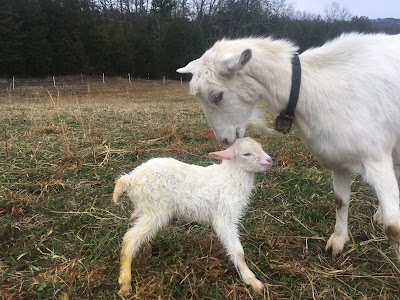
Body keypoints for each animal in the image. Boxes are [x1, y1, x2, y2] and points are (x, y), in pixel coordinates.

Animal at [177, 32, 400, 262]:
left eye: (217, 96)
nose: (225, 139)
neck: (314, 90)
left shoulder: (376, 158)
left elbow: (393, 228)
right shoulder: (338, 160)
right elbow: (340, 201)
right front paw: (337, 242)